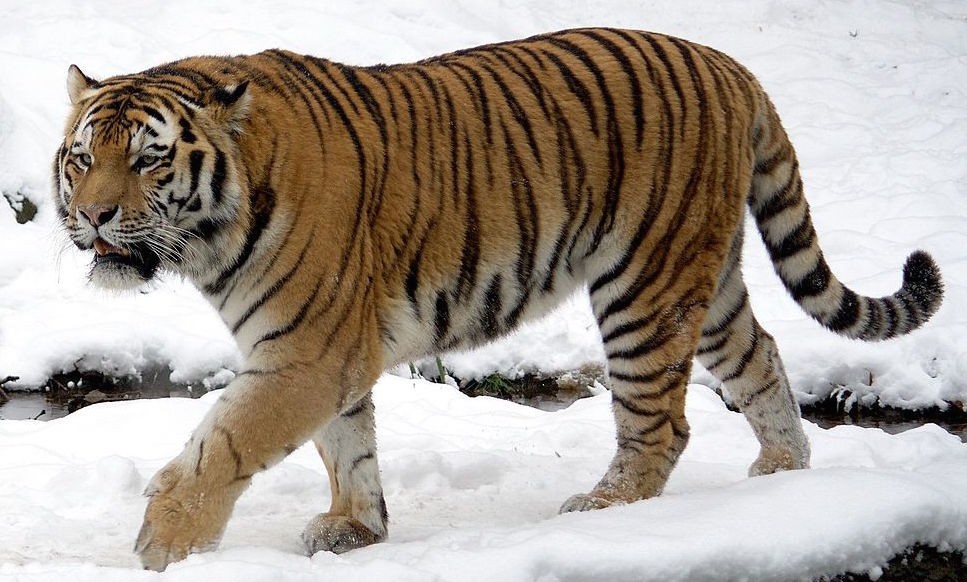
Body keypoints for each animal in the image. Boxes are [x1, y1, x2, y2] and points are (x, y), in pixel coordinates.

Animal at [54, 28, 943, 571]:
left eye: (148, 159)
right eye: (82, 158)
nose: (92, 215)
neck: (212, 233)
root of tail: (731, 66)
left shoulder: (306, 352)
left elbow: (224, 445)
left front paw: (162, 547)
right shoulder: (322, 352)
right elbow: (347, 445)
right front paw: (356, 528)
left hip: (644, 285)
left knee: (662, 420)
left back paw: (604, 509)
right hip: (705, 276)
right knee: (758, 356)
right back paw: (780, 476)